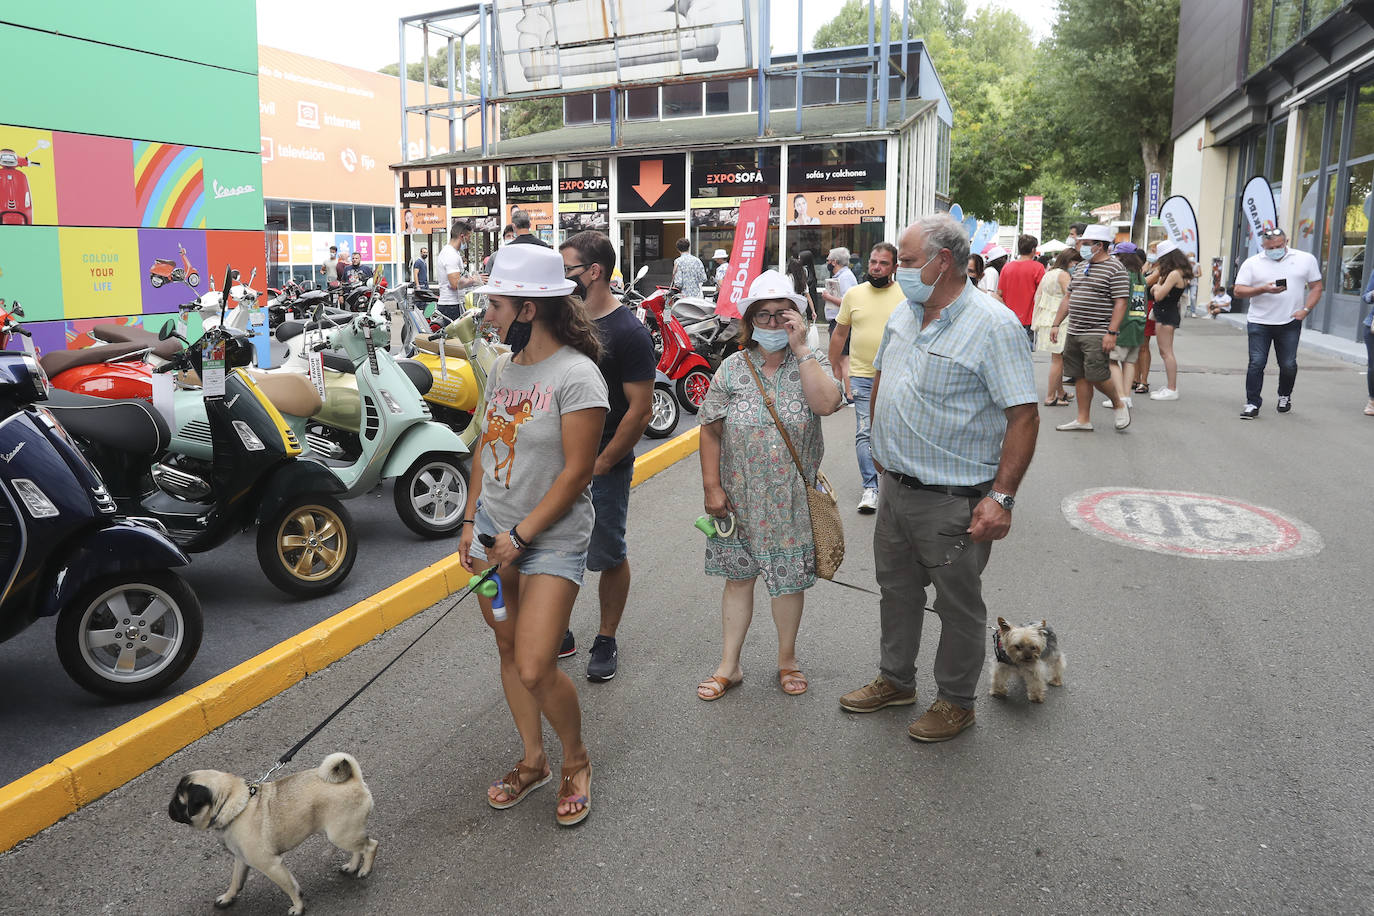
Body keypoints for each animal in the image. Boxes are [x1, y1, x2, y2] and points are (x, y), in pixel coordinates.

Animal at [169, 758, 379, 911]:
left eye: (179, 802)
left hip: (340, 834)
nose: (169, 808)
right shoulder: (241, 859)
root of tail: (355, 779)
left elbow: (290, 888)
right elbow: (236, 881)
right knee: (358, 848)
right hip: (345, 832)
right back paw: (352, 866)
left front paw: (298, 908)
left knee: (370, 845)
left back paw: (364, 870)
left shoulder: (271, 865)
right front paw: (228, 898)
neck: (234, 805)